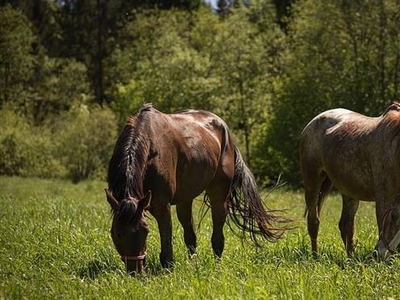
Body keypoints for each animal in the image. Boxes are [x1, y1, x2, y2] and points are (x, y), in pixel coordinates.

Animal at [104, 103, 290, 274]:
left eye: (145, 231)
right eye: (116, 233)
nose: (135, 271)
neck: (148, 144)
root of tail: (225, 130)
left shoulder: (162, 206)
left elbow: (166, 238)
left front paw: (168, 269)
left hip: (218, 195)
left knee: (217, 233)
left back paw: (217, 264)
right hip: (185, 199)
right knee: (190, 235)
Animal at [300, 101, 400, 260]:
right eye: (393, 216)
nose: (380, 254)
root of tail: (313, 122)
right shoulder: (384, 198)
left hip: (349, 192)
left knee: (346, 226)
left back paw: (351, 259)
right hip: (312, 183)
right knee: (314, 221)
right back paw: (315, 257)